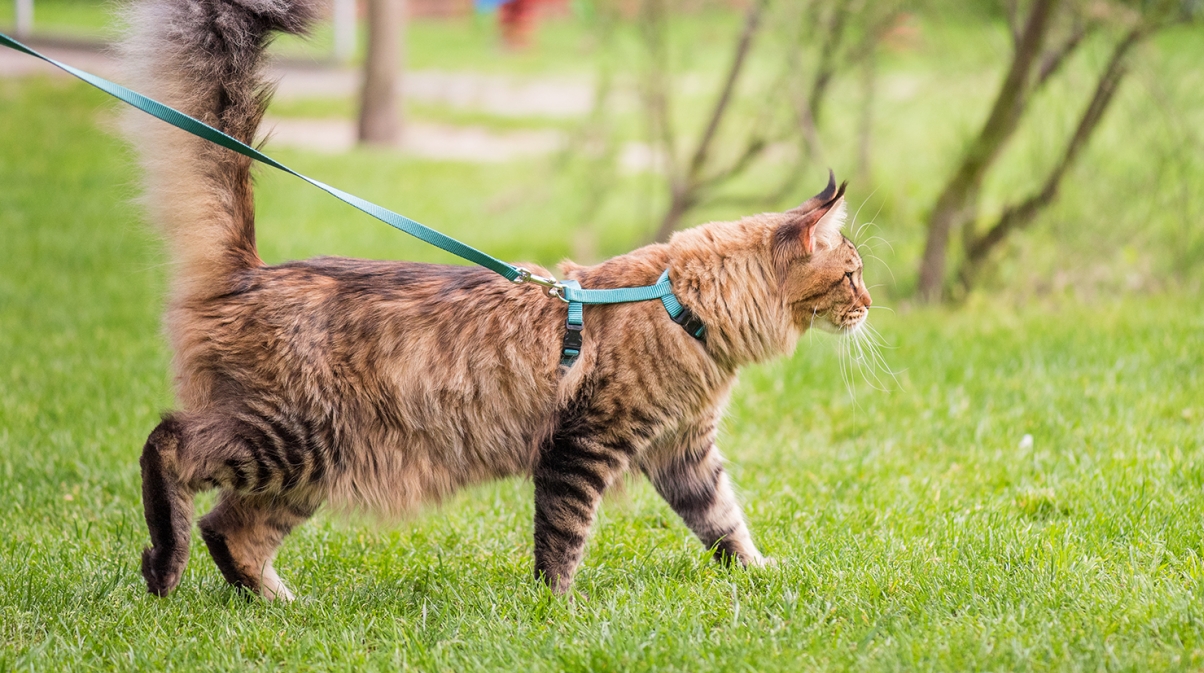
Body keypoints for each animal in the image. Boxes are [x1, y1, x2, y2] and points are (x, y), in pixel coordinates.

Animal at [127, 0, 871, 601]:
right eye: (853, 274)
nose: (870, 304)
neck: (679, 303)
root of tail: (250, 271)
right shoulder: (585, 444)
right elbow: (564, 537)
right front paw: (557, 608)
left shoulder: (683, 451)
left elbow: (724, 522)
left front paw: (761, 573)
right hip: (290, 438)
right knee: (168, 446)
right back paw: (164, 564)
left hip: (307, 471)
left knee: (231, 529)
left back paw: (280, 602)